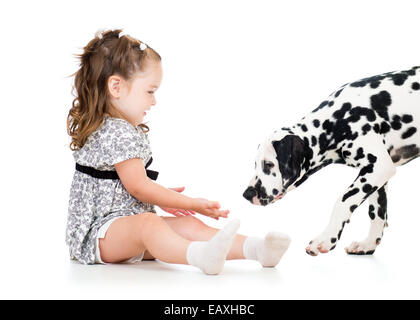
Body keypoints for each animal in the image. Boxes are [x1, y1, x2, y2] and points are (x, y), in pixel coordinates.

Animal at [243, 66, 420, 256]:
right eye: (255, 165)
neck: (336, 120)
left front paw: (326, 239)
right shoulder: (376, 174)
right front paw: (369, 244)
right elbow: (377, 212)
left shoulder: (379, 166)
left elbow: (343, 201)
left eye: (268, 165)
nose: (247, 194)